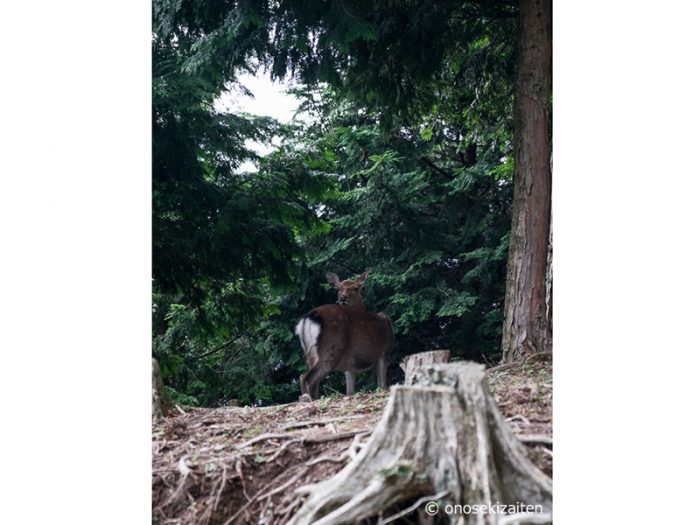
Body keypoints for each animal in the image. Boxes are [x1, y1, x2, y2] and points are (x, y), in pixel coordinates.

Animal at [294, 272, 394, 400]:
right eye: (338, 288)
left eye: (356, 288)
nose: (342, 298)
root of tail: (310, 317)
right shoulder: (384, 352)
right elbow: (382, 385)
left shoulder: (350, 367)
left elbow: (350, 391)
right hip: (332, 347)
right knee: (308, 378)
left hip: (310, 354)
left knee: (305, 376)